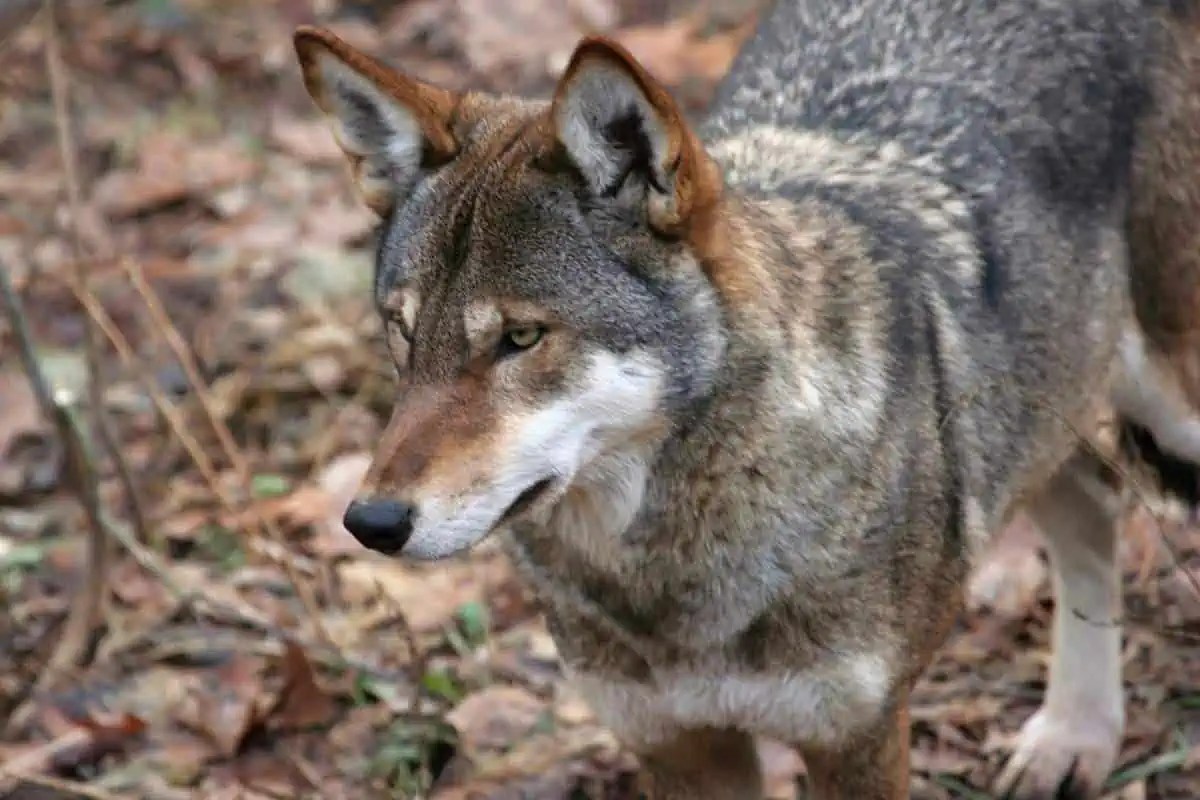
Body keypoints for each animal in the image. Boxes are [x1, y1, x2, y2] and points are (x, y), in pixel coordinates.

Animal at [293, 0, 1200, 796]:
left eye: (520, 338)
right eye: (403, 331)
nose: (371, 522)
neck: (669, 579)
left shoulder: (855, 739)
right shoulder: (677, 746)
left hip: (1166, 405)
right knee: (1094, 500)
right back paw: (1074, 738)